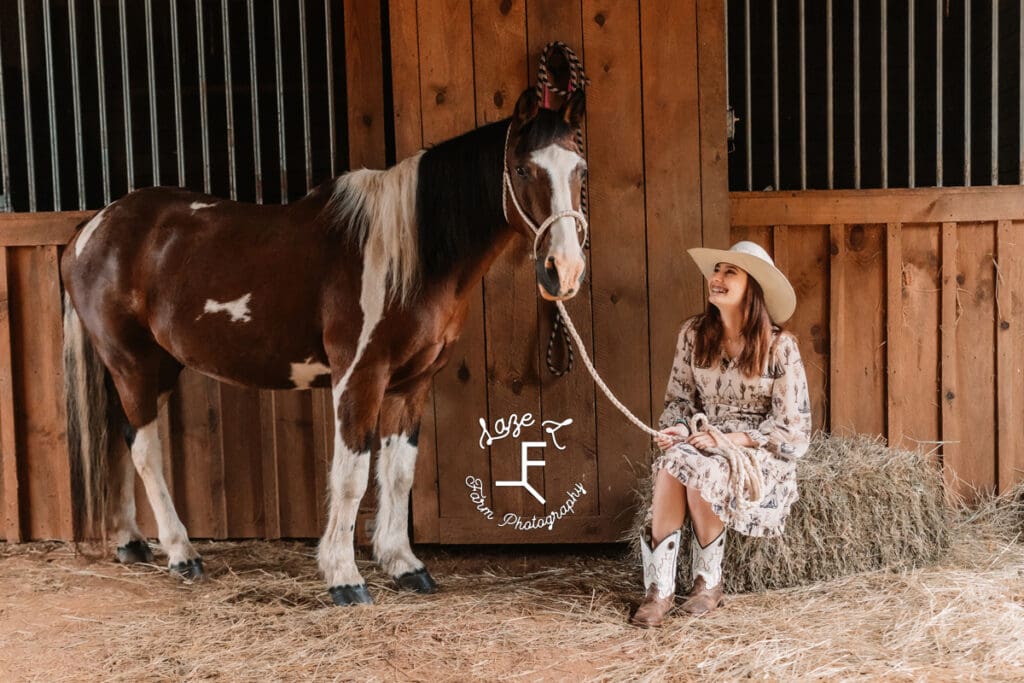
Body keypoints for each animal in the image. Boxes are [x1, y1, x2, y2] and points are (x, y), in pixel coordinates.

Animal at [61, 88, 593, 606]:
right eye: (522, 169)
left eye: (580, 169)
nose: (563, 271)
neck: (407, 257)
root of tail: (92, 228)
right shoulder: (359, 378)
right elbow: (352, 476)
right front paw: (344, 578)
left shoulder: (412, 384)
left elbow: (399, 473)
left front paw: (404, 565)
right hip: (132, 363)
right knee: (145, 451)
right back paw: (181, 554)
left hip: (154, 366)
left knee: (120, 438)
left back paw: (132, 543)